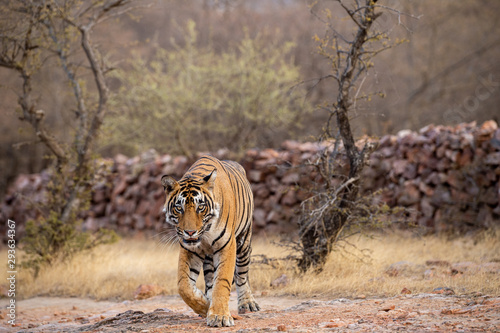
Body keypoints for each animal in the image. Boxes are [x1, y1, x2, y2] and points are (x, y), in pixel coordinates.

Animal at [161, 154, 262, 326]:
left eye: (200, 207)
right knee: (209, 279)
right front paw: (205, 306)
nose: (190, 232)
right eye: (179, 208)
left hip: (244, 243)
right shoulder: (189, 249)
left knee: (242, 276)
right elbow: (184, 285)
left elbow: (222, 281)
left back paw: (247, 303)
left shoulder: (227, 245)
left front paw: (219, 317)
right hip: (209, 256)